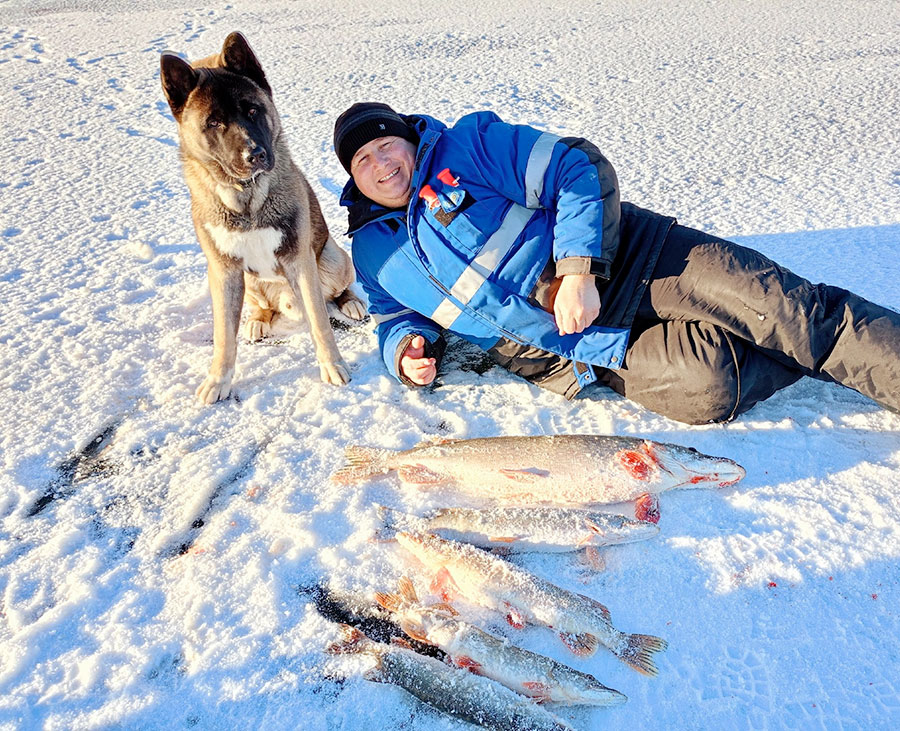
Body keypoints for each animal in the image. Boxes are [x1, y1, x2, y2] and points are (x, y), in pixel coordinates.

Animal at [160, 31, 364, 404]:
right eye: (213, 123)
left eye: (253, 110)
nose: (254, 154)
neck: (247, 199)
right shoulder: (224, 271)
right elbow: (224, 337)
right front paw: (218, 380)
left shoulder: (301, 261)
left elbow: (320, 323)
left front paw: (332, 366)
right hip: (249, 280)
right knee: (259, 307)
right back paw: (257, 319)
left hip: (331, 258)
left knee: (336, 291)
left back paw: (351, 303)